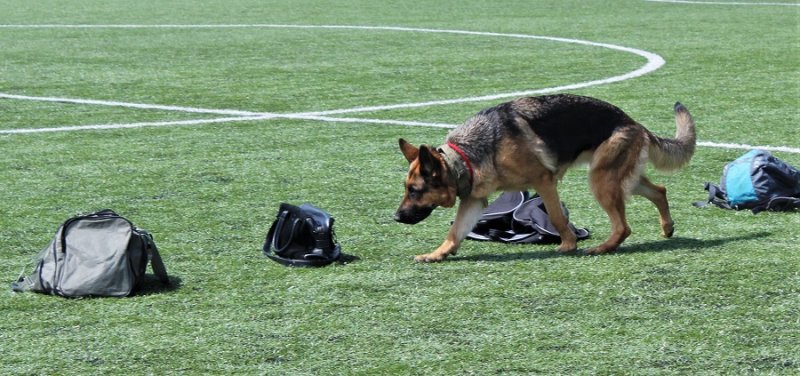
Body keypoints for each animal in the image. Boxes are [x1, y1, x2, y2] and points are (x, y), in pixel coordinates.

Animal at [394, 94, 692, 262]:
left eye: (414, 190)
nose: (395, 217)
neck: (466, 156)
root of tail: (634, 123)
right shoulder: (474, 201)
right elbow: (455, 232)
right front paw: (437, 254)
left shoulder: (544, 182)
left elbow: (558, 218)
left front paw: (568, 245)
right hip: (616, 178)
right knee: (659, 190)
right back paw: (667, 227)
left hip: (600, 181)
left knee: (623, 226)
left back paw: (601, 248)